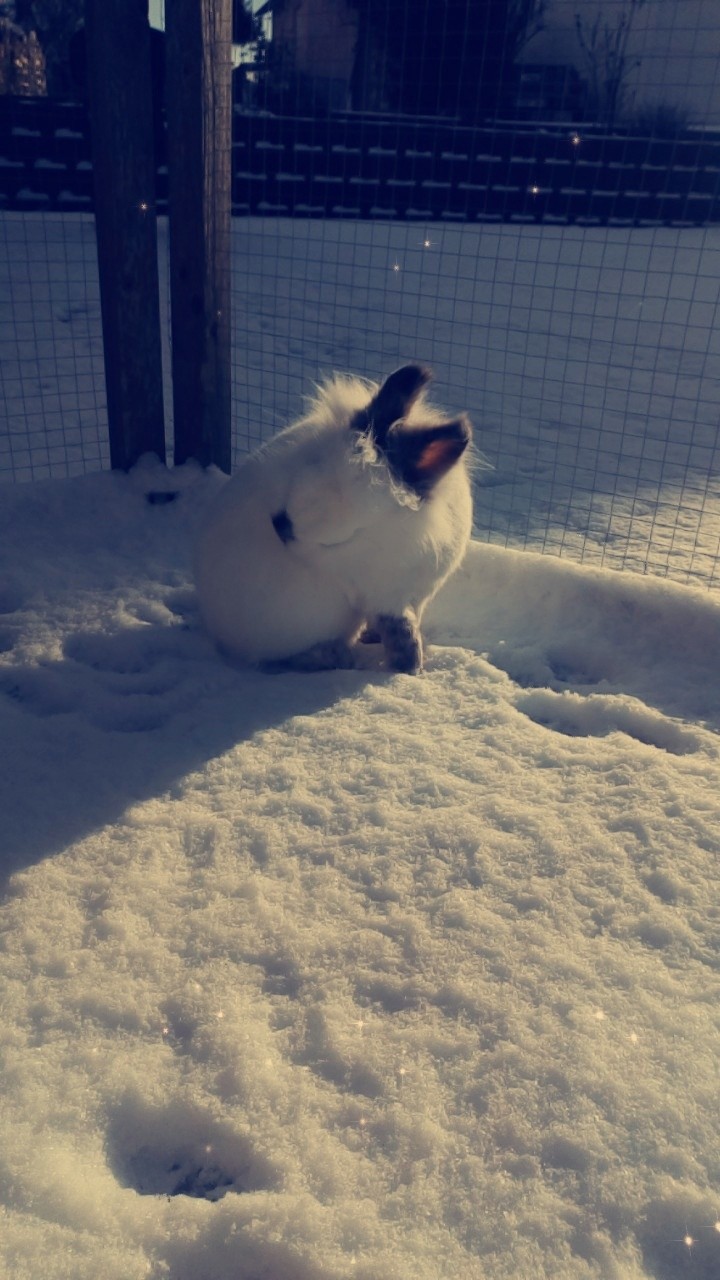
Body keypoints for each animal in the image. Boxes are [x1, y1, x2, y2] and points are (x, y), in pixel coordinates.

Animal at [193, 364, 474, 674]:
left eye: (342, 538)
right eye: (309, 466)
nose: (279, 525)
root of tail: (218, 631)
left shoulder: (410, 594)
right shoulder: (385, 596)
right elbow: (401, 630)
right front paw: (410, 668)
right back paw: (334, 657)